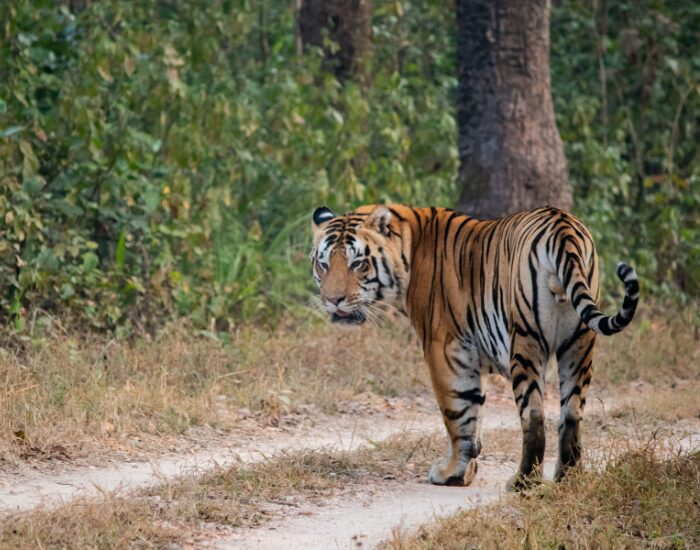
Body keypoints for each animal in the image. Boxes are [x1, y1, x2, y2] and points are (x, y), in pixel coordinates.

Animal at [310, 204, 639, 489]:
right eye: (323, 264)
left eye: (358, 264)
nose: (333, 300)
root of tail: (563, 226)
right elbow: (475, 414)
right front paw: (467, 470)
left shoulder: (445, 349)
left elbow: (459, 415)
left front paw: (452, 473)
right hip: (579, 344)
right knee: (571, 415)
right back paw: (567, 479)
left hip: (526, 341)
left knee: (533, 417)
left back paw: (523, 482)